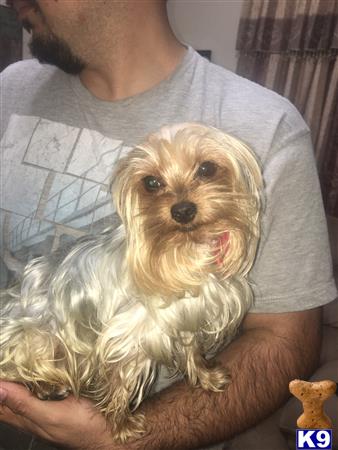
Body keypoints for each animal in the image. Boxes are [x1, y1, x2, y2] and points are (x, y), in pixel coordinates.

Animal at [0, 121, 262, 442]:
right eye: (151, 182)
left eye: (207, 168)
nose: (182, 211)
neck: (188, 248)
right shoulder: (128, 337)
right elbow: (120, 384)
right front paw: (121, 425)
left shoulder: (188, 315)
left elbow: (192, 349)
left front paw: (205, 376)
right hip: (36, 335)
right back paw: (44, 386)